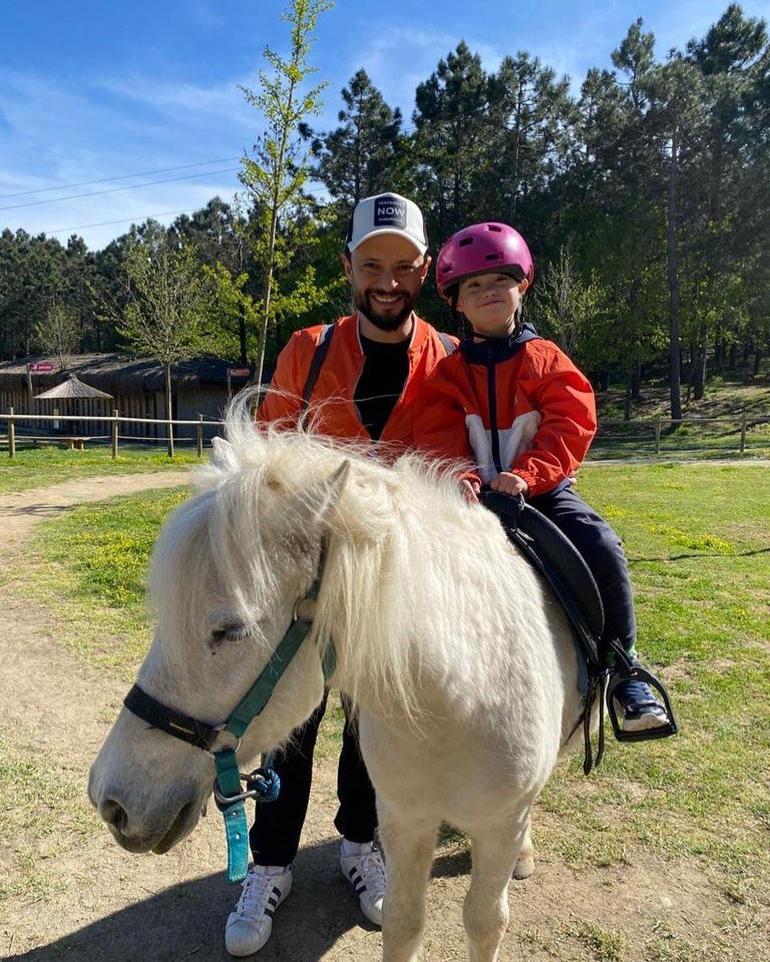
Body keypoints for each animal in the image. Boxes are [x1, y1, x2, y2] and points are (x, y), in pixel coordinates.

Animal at [90, 406, 584, 960]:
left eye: (232, 630)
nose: (111, 801)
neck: (462, 694)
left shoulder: (498, 826)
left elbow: (484, 923)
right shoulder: (405, 818)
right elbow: (404, 922)